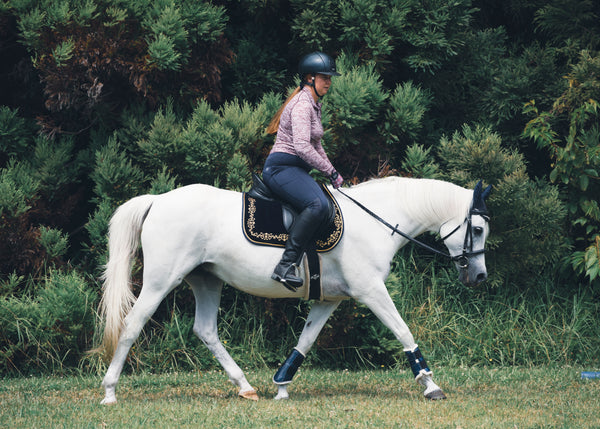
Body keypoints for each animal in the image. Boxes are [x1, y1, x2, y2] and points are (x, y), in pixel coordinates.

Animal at [98, 176, 490, 402]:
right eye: (479, 229)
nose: (480, 277)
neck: (376, 221)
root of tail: (158, 200)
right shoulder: (370, 290)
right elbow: (403, 331)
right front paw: (430, 385)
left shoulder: (329, 300)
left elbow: (305, 340)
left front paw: (282, 385)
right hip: (161, 280)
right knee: (132, 325)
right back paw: (110, 391)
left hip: (207, 279)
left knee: (205, 330)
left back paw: (245, 387)